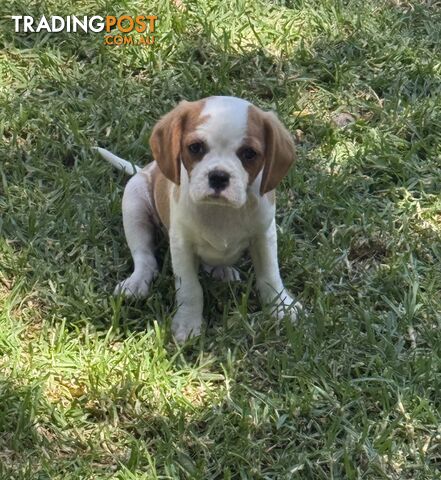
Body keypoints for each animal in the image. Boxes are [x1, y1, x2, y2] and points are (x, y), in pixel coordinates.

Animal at [96, 94, 300, 342]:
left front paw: (281, 306)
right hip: (134, 202)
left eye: (249, 154)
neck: (220, 211)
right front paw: (188, 323)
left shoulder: (264, 235)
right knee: (145, 258)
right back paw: (137, 282)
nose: (219, 176)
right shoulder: (181, 245)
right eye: (195, 148)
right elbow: (190, 289)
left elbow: (270, 274)